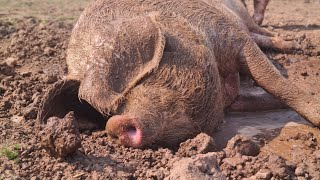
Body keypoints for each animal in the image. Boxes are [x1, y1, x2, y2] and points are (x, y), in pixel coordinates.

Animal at [37, 0, 320, 148]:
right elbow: (266, 94)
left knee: (261, 31)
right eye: (104, 114)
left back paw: (299, 43)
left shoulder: (232, 37)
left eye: (142, 77)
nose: (114, 125)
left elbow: (275, 83)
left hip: (243, 22)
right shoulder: (230, 99)